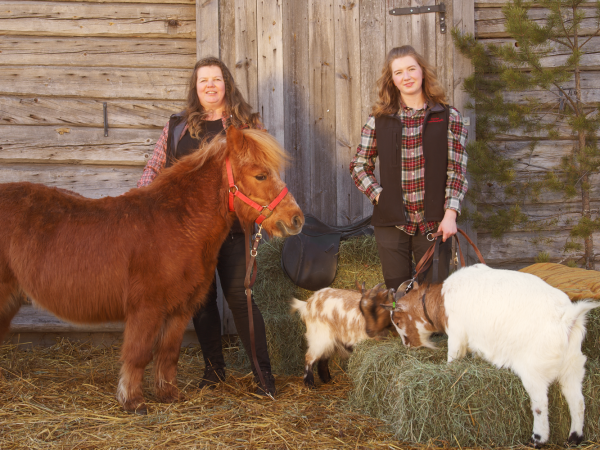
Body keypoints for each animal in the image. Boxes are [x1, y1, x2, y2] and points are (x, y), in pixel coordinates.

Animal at [0, 125, 302, 414]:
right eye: (260, 175)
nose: (296, 219)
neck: (176, 224)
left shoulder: (180, 309)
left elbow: (168, 353)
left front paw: (168, 394)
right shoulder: (146, 308)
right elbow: (138, 354)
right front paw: (133, 401)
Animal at [364, 266, 596, 448]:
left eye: (398, 321)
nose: (408, 346)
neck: (441, 300)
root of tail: (567, 319)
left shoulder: (457, 334)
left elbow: (453, 357)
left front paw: (449, 370)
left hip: (535, 372)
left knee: (541, 404)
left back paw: (537, 439)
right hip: (573, 368)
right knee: (578, 401)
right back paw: (574, 438)